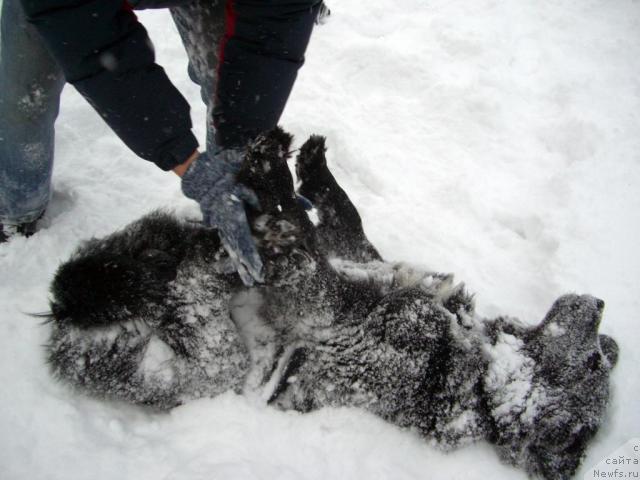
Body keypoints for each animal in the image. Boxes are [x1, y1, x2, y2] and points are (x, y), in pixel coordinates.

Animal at [46, 128, 620, 480]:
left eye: (594, 364)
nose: (599, 303)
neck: (479, 369)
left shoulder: (324, 303)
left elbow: (305, 246)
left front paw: (273, 177)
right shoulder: (357, 255)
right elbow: (345, 216)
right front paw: (311, 164)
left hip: (207, 356)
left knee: (178, 291)